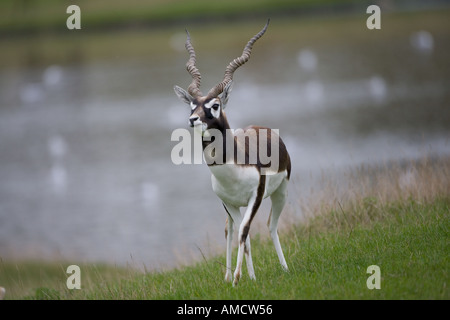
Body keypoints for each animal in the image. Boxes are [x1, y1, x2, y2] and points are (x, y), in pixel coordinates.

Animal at [174, 20, 290, 284]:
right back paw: (230, 276)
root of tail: (262, 128)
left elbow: (245, 232)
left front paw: (240, 278)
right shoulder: (228, 202)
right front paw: (245, 278)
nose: (193, 119)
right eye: (192, 105)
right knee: (230, 229)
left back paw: (285, 268)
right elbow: (240, 234)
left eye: (215, 105)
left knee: (271, 225)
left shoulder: (255, 197)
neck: (234, 166)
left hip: (281, 191)